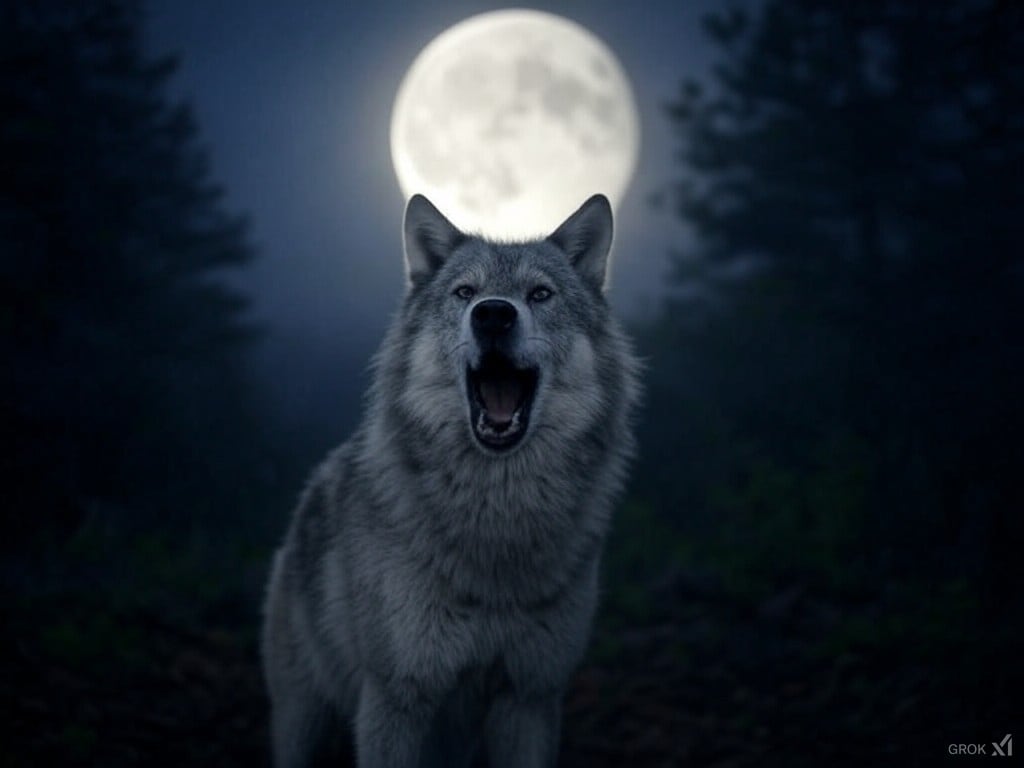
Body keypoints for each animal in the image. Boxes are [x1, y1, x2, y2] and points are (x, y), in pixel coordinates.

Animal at [261, 193, 640, 768]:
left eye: (540, 294)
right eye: (466, 292)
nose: (493, 314)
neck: (496, 531)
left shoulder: (530, 696)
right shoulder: (396, 697)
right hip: (301, 721)